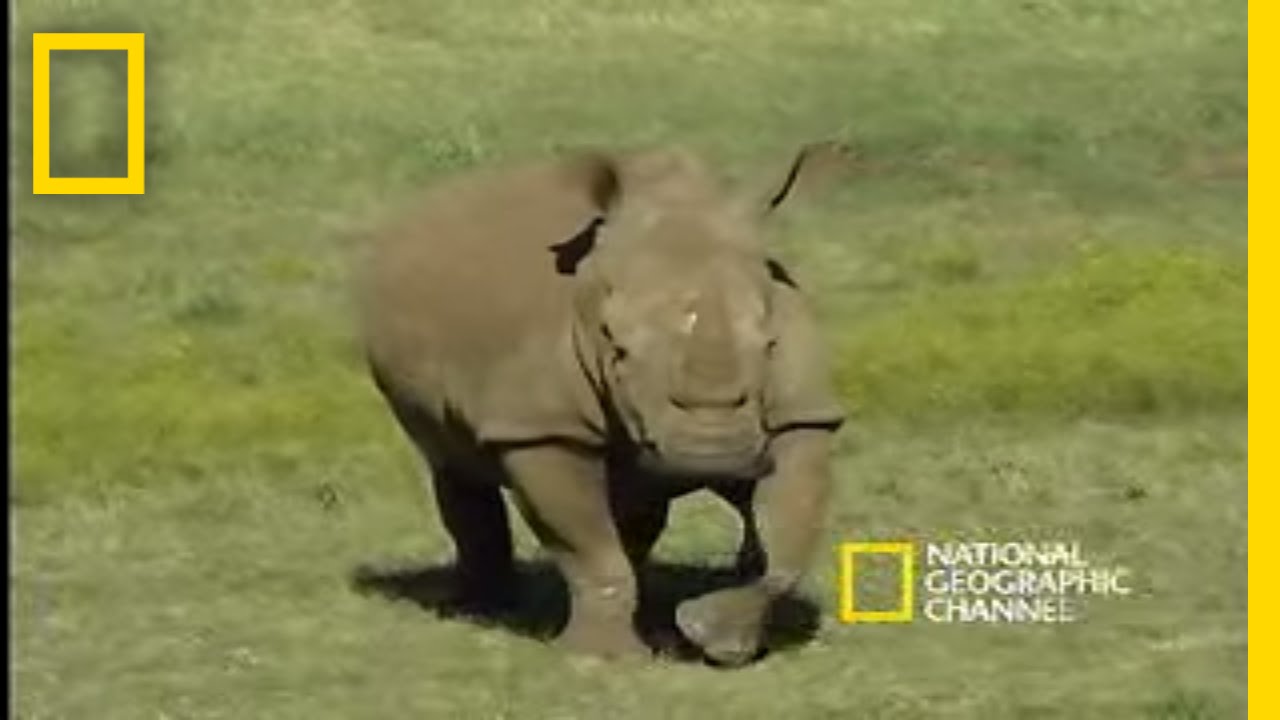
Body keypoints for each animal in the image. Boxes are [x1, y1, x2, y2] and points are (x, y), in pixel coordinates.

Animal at [358, 143, 847, 665]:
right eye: (618, 348)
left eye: (770, 345)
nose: (712, 456)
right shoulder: (541, 427)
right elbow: (588, 548)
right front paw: (602, 660)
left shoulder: (804, 412)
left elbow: (790, 540)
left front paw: (712, 636)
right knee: (453, 464)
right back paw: (480, 608)